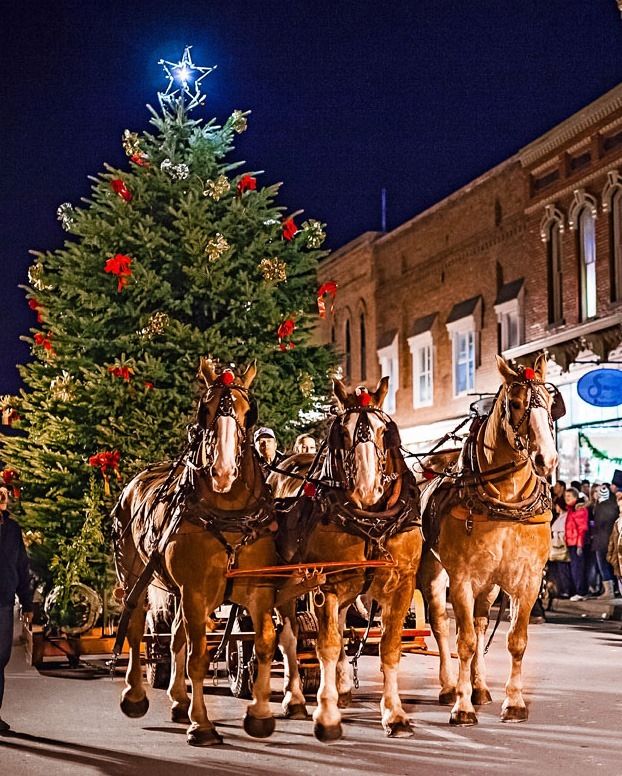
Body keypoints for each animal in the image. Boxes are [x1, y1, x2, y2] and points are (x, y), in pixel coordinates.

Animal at [112, 358, 280, 744]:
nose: (222, 472)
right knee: (136, 626)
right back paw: (134, 696)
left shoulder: (258, 588)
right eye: (205, 410)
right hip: (136, 576)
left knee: (176, 635)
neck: (229, 513)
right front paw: (201, 724)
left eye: (249, 412)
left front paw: (259, 716)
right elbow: (199, 657)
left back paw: (178, 700)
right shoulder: (195, 590)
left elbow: (264, 641)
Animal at [272, 378, 424, 744]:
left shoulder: (401, 586)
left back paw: (340, 688)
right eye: (343, 431)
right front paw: (326, 715)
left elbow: (389, 647)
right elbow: (325, 645)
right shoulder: (325, 586)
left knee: (341, 630)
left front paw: (394, 714)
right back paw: (295, 698)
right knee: (290, 638)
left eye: (385, 431)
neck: (371, 521)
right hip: (285, 584)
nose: (368, 490)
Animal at [422, 356, 564, 728]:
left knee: (482, 622)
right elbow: (465, 641)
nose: (547, 460)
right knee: (441, 625)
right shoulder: (461, 580)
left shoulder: (527, 580)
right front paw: (462, 706)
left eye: (549, 402)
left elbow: (515, 641)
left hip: (490, 583)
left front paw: (513, 702)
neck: (505, 502)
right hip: (433, 573)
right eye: (515, 403)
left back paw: (480, 687)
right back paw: (449, 687)